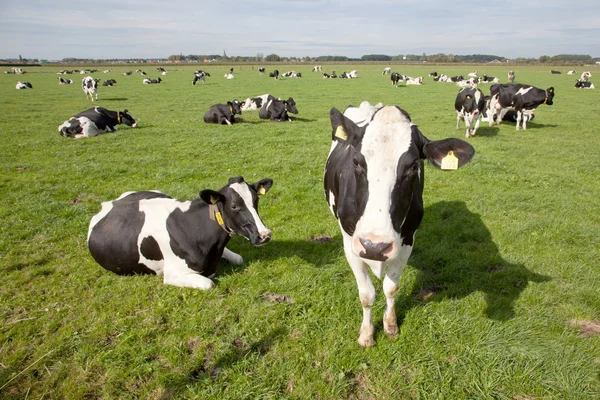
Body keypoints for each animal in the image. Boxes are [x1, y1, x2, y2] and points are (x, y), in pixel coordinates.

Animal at [86, 177, 274, 290]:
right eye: (234, 206)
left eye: (256, 200)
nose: (265, 235)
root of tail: (111, 202)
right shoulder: (172, 274)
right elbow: (209, 284)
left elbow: (238, 258)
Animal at [326, 101, 476, 346]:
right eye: (356, 162)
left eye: (414, 166)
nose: (374, 246)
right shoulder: (351, 244)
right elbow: (366, 293)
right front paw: (366, 334)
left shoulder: (407, 240)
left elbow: (391, 287)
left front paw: (391, 326)